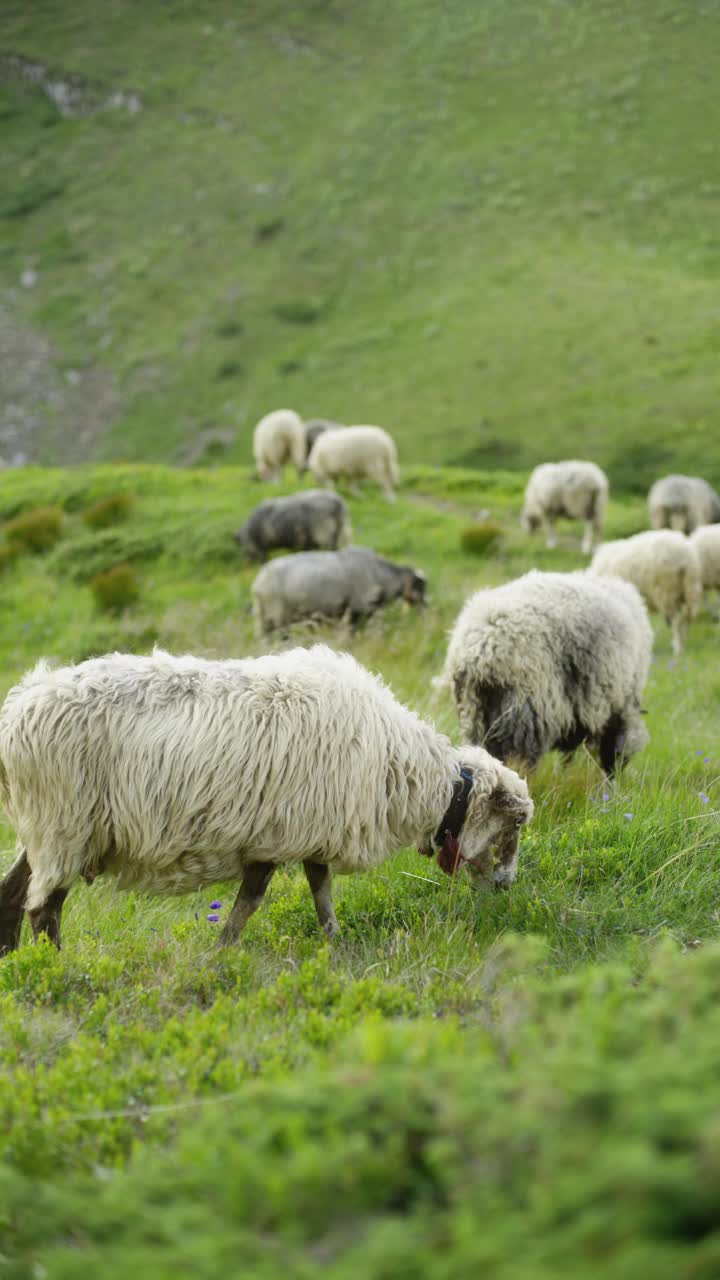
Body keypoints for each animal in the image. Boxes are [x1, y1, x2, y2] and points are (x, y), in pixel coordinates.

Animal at [0, 645, 530, 957]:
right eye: (514, 825)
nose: (507, 888)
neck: (405, 771)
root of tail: (18, 707)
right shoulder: (277, 834)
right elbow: (251, 902)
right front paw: (221, 954)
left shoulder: (308, 830)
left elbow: (319, 889)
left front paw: (334, 942)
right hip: (64, 823)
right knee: (44, 908)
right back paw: (56, 966)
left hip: (44, 827)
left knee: (13, 890)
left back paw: (15, 965)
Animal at [249, 545, 422, 634]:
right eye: (420, 585)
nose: (425, 608)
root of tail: (258, 583)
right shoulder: (357, 609)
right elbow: (352, 633)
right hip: (278, 615)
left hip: (263, 617)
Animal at [589, 527, 702, 655]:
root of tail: (686, 558)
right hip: (690, 588)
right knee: (688, 618)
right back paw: (682, 644)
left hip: (668, 591)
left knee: (676, 619)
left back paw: (677, 647)